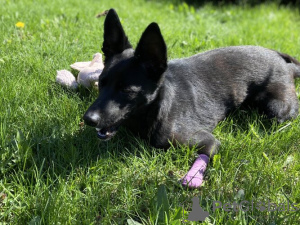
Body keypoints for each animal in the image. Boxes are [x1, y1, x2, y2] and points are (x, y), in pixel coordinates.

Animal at [84, 8, 300, 188]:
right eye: (101, 82)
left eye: (127, 91)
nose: (88, 119)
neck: (159, 108)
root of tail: (285, 64)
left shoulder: (207, 143)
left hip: (278, 108)